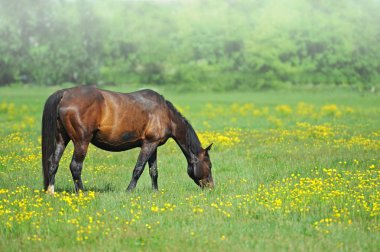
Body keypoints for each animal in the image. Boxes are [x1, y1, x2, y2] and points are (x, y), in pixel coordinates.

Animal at [42, 85, 214, 194]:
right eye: (209, 165)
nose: (211, 187)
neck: (165, 114)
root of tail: (65, 94)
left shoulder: (153, 145)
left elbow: (153, 171)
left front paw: (155, 192)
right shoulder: (148, 145)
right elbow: (138, 169)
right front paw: (129, 190)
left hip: (61, 139)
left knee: (53, 163)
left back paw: (50, 191)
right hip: (81, 142)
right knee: (75, 166)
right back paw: (82, 192)